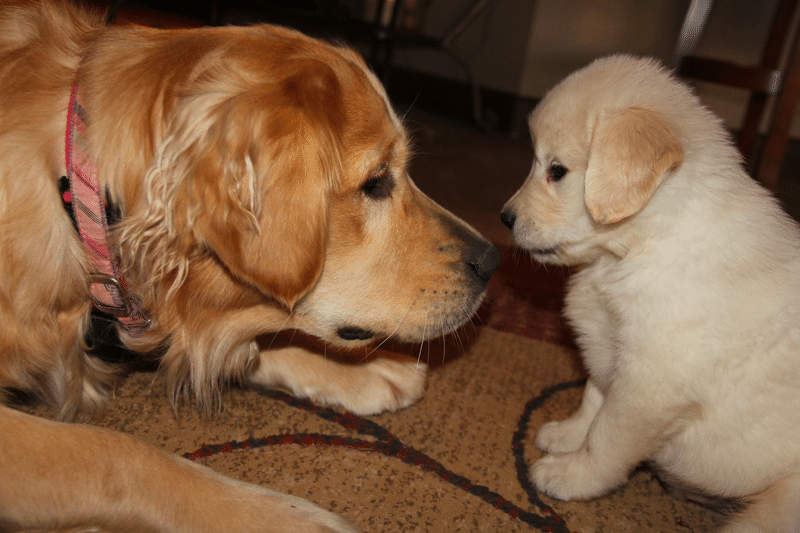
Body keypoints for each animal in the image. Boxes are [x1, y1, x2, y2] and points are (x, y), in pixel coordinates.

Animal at [504, 55, 796, 532]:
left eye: (557, 171)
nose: (504, 218)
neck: (642, 246)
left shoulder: (648, 386)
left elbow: (606, 436)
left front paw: (571, 476)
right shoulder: (609, 347)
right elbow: (592, 398)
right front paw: (566, 435)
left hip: (777, 506)